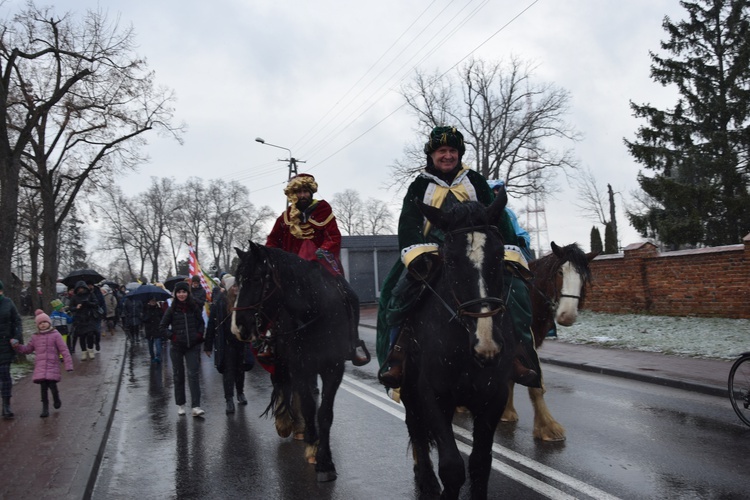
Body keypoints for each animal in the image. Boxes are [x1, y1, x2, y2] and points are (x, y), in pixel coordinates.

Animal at [232, 244, 358, 482]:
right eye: (237, 281)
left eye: (256, 278)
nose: (239, 327)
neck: (314, 312)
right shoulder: (299, 366)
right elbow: (308, 406)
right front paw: (313, 448)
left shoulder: (333, 369)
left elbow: (324, 412)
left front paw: (325, 462)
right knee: (283, 385)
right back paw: (287, 423)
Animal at [402, 195, 520, 500]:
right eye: (451, 260)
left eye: (500, 255)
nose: (487, 345)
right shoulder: (432, 395)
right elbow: (452, 467)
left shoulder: (494, 396)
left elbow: (480, 463)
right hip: (408, 390)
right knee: (416, 430)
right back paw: (426, 479)